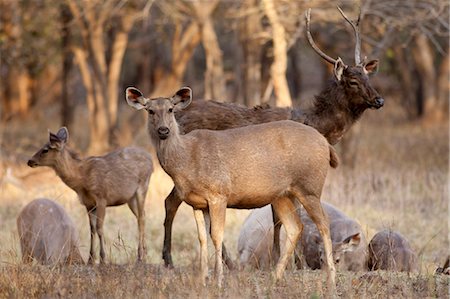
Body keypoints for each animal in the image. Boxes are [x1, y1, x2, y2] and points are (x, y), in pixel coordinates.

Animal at [26, 127, 153, 264]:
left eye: (45, 149)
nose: (30, 161)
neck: (82, 179)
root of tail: (151, 160)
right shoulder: (88, 203)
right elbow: (92, 229)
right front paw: (91, 259)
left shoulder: (102, 198)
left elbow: (99, 228)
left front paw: (103, 258)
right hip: (130, 198)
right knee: (142, 215)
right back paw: (145, 253)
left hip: (143, 187)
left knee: (141, 218)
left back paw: (140, 256)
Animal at [125, 86, 338, 288]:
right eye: (150, 110)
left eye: (171, 109)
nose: (163, 130)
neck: (186, 160)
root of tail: (325, 143)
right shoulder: (196, 203)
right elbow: (202, 238)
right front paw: (203, 280)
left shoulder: (219, 193)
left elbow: (216, 236)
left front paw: (218, 280)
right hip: (282, 195)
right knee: (295, 226)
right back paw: (275, 277)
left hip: (309, 186)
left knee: (323, 223)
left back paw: (331, 278)